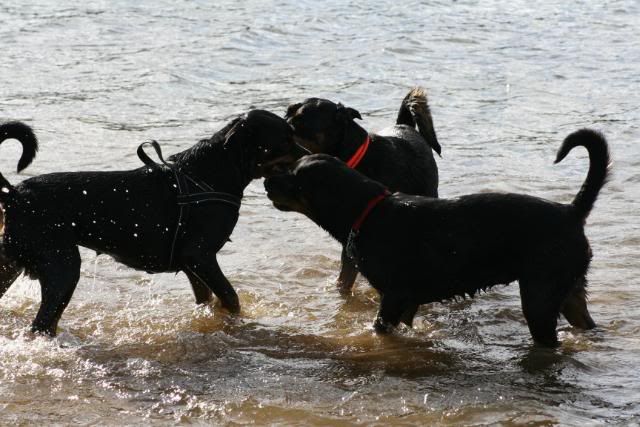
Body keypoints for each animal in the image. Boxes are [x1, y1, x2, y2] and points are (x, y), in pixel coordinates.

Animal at [264, 128, 608, 348]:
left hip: (539, 296)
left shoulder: (394, 296)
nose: (266, 181)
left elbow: (379, 327)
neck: (366, 211)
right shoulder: (409, 302)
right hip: (571, 293)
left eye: (295, 179)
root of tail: (571, 212)